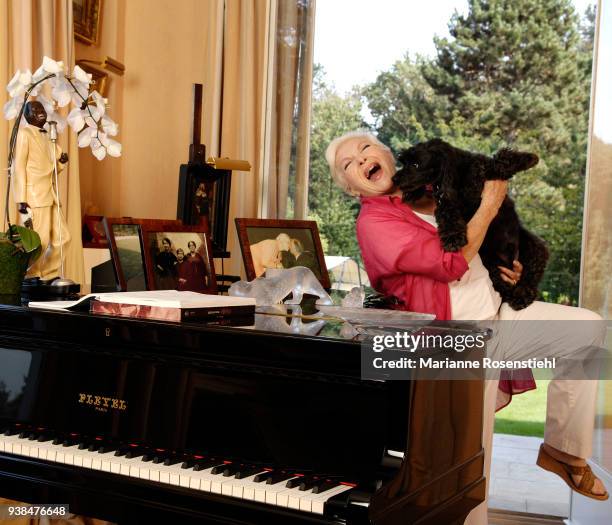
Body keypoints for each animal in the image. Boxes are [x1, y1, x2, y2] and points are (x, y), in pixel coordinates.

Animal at [392, 139, 548, 312]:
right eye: (404, 162)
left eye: (415, 164)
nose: (394, 179)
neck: (458, 175)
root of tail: (509, 260)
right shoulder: (446, 202)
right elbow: (448, 218)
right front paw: (452, 239)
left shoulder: (485, 170)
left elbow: (501, 160)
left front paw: (530, 158)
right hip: (492, 264)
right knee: (502, 284)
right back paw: (517, 297)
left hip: (535, 248)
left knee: (530, 276)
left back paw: (522, 294)